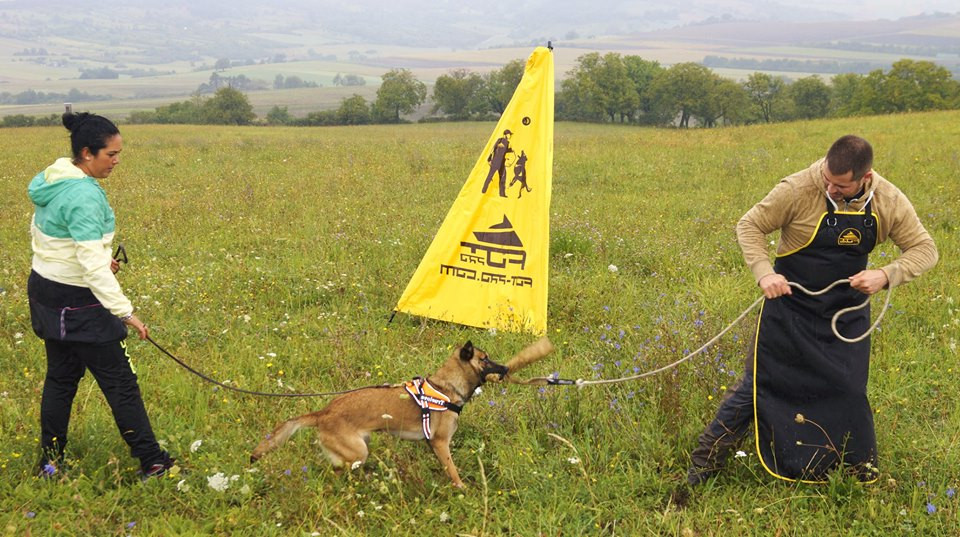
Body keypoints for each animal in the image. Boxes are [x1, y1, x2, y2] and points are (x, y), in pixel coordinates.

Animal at [249, 342, 510, 488]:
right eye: (484, 359)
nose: (506, 368)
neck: (446, 389)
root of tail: (325, 412)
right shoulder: (440, 443)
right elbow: (453, 471)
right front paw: (462, 488)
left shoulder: (434, 445)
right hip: (357, 452)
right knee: (334, 473)